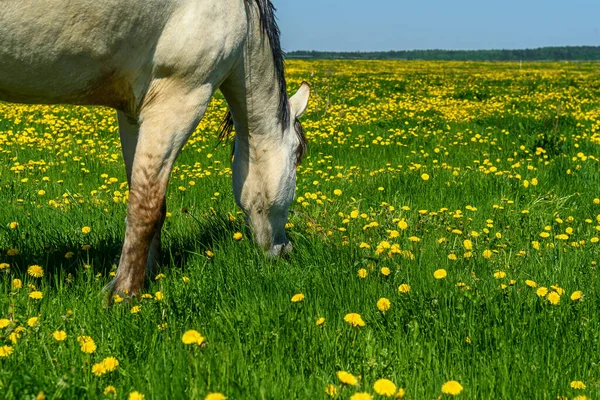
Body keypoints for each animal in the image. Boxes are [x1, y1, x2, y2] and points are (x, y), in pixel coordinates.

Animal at [0, 0, 310, 296]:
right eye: (297, 155)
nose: (284, 250)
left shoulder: (133, 113)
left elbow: (148, 202)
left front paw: (148, 274)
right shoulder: (180, 97)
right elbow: (146, 206)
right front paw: (124, 294)